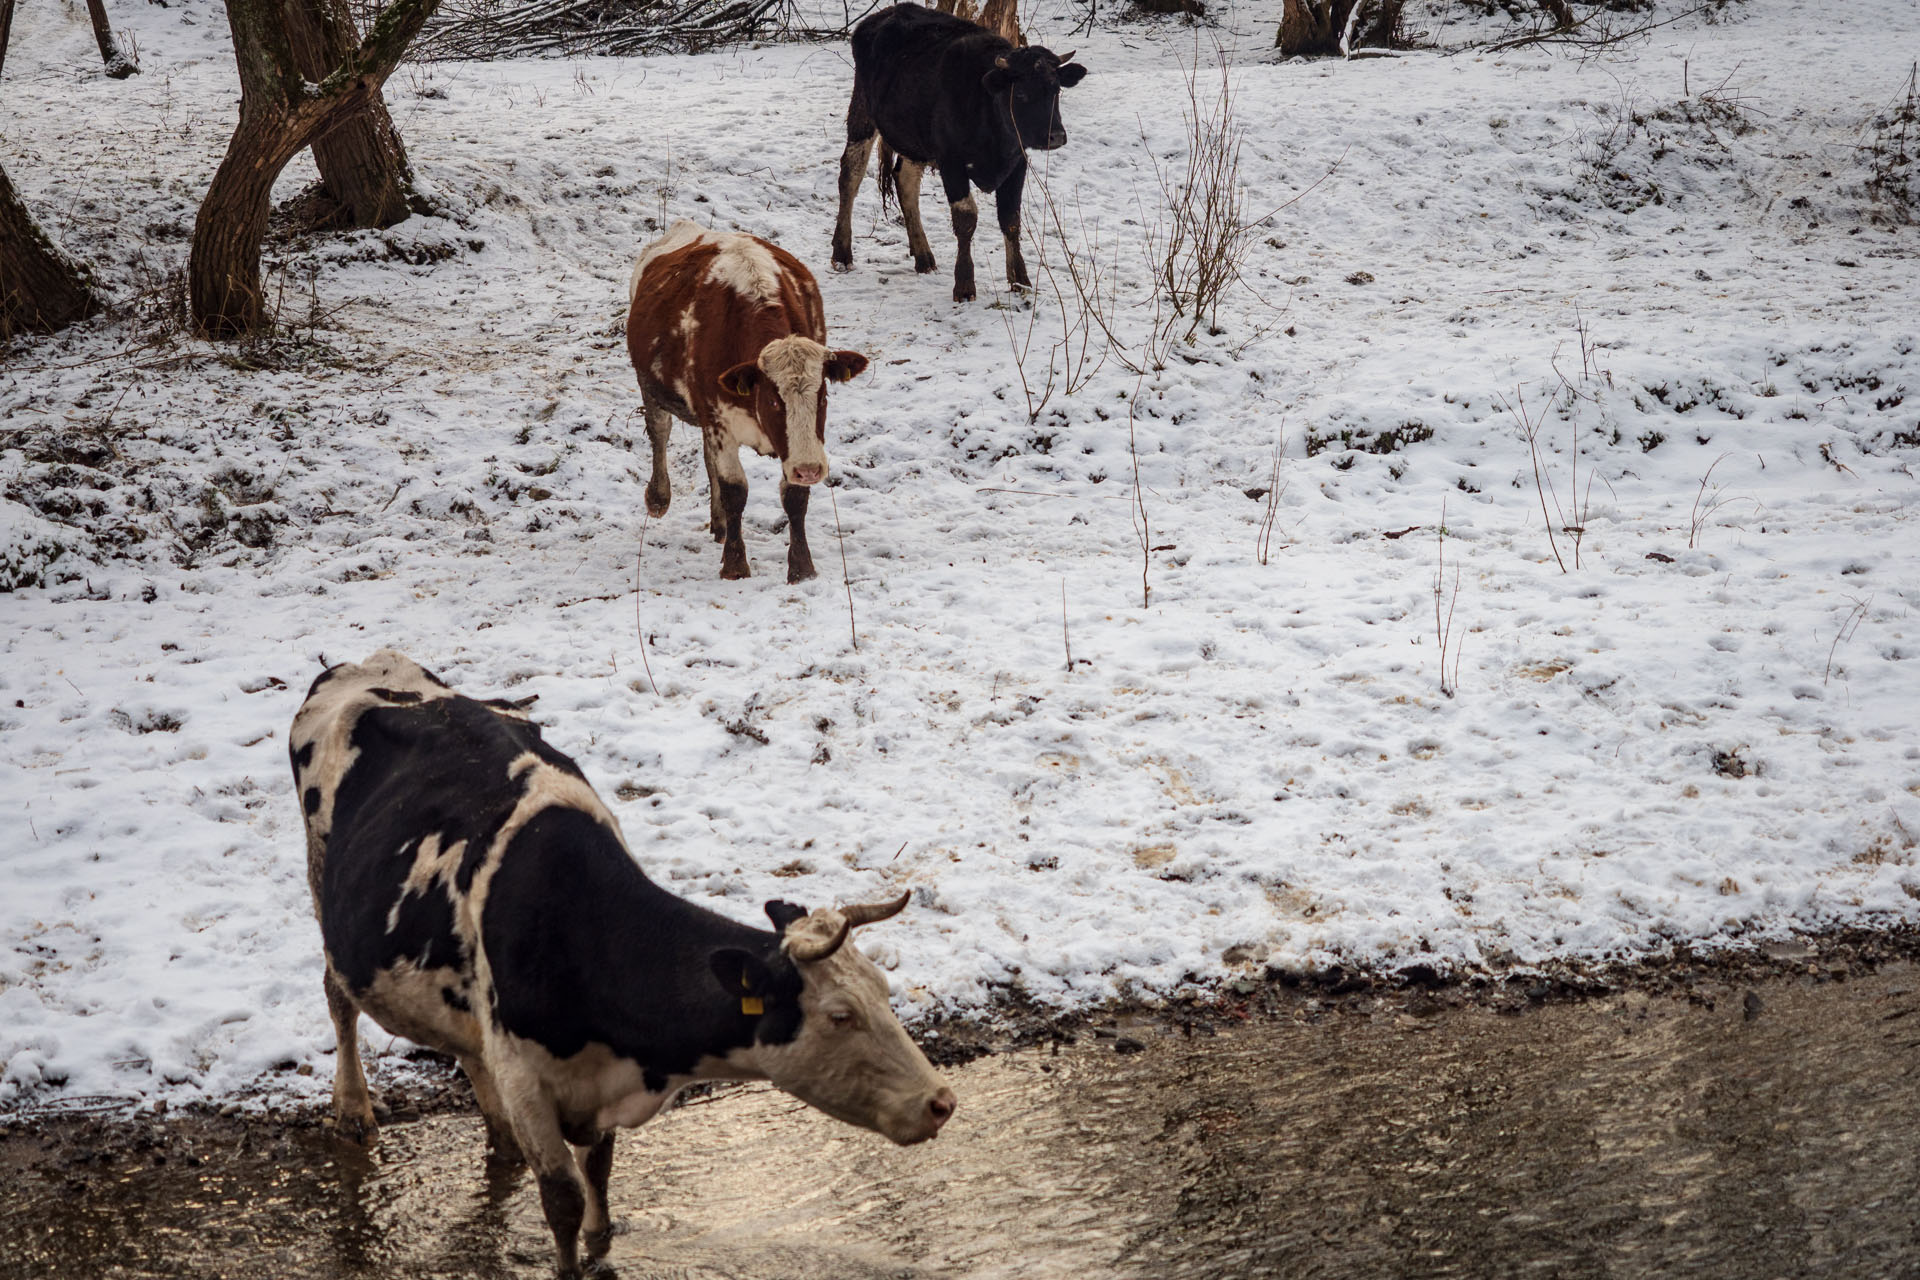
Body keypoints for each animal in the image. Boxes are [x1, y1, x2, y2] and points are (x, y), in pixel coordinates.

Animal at [289, 656, 952, 1274]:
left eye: (885, 991)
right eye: (840, 1016)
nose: (941, 1101)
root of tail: (369, 664)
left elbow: (600, 1181)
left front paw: (602, 1246)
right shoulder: (530, 1083)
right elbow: (562, 1200)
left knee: (470, 1058)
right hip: (323, 891)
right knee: (337, 997)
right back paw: (353, 1108)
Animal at [625, 222, 867, 583]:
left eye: (822, 396)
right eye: (773, 400)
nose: (810, 470)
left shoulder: (793, 446)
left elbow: (794, 497)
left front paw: (801, 567)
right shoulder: (719, 420)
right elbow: (735, 490)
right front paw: (735, 565)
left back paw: (719, 523)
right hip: (650, 386)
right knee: (660, 432)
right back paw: (659, 497)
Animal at [829, 4, 1090, 303]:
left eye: (1056, 89)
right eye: (1021, 93)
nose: (1056, 136)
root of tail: (883, 14)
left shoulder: (1018, 162)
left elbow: (1010, 219)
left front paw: (1020, 282)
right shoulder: (951, 162)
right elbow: (966, 218)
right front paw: (964, 285)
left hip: (914, 137)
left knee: (905, 181)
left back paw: (923, 256)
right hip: (862, 110)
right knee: (851, 174)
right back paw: (842, 253)